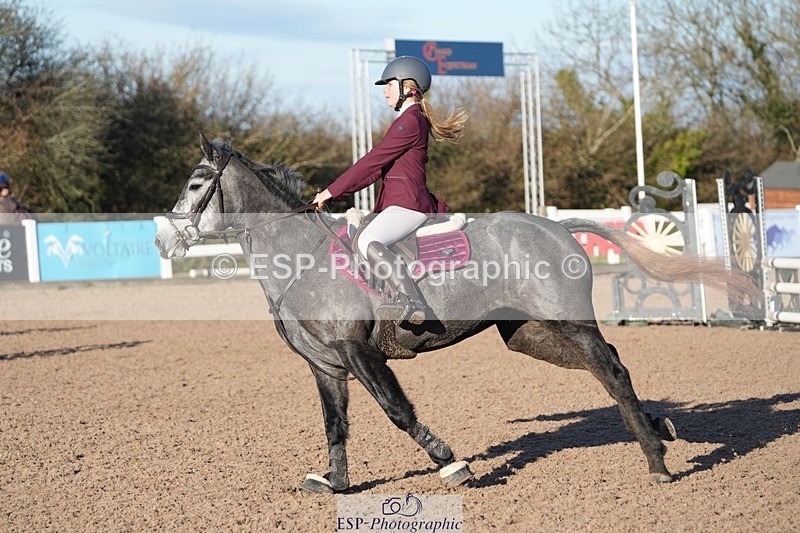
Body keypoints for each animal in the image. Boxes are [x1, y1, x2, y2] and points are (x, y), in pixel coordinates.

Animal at [154, 134, 757, 493]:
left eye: (196, 183)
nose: (161, 239)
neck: (301, 258)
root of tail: (557, 226)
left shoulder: (359, 353)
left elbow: (397, 411)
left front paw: (450, 462)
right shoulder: (325, 365)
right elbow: (335, 423)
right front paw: (334, 482)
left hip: (566, 322)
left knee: (610, 369)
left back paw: (655, 461)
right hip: (531, 335)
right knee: (608, 367)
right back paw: (660, 429)